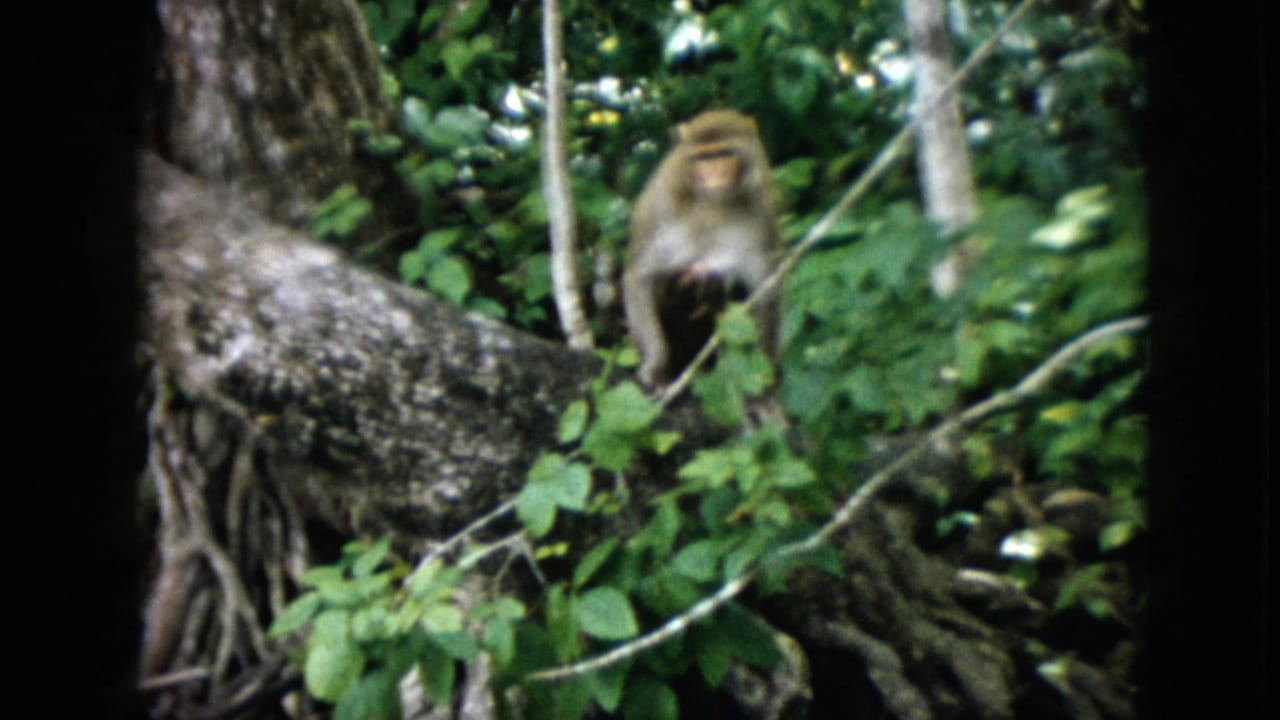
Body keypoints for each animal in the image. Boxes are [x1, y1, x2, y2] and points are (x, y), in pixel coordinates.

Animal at [624, 110, 782, 389]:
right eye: (703, 158)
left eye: (724, 153)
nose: (714, 176)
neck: (714, 204)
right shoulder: (665, 209)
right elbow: (640, 277)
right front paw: (656, 363)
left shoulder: (763, 211)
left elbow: (765, 291)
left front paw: (767, 386)